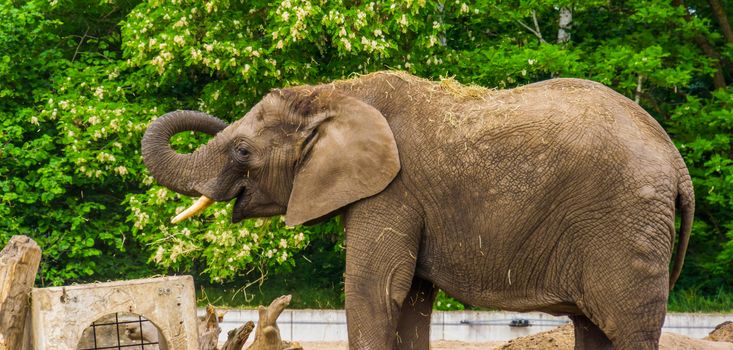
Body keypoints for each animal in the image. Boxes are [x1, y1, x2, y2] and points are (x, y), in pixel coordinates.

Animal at [142, 72, 692, 350]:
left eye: (242, 152)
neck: (340, 93)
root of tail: (677, 163)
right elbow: (409, 301)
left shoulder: (393, 191)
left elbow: (374, 290)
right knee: (594, 328)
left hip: (623, 225)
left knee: (626, 327)